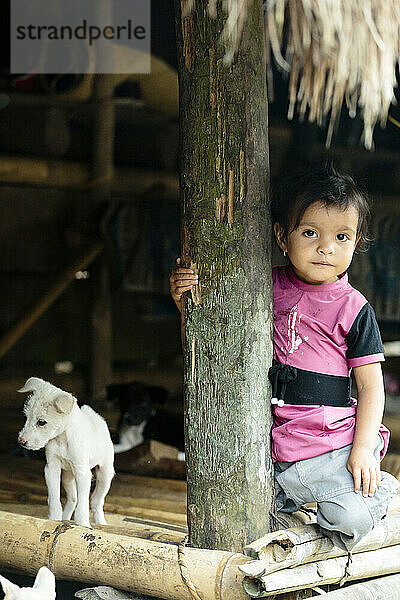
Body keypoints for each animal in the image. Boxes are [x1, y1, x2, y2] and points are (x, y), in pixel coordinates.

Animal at [17, 378, 114, 528]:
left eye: (41, 422)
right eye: (27, 417)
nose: (21, 441)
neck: (62, 439)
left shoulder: (83, 473)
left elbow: (83, 504)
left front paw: (83, 525)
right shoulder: (52, 468)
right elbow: (54, 498)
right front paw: (54, 519)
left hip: (105, 475)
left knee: (96, 502)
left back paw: (101, 523)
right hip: (68, 477)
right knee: (73, 499)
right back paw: (65, 518)